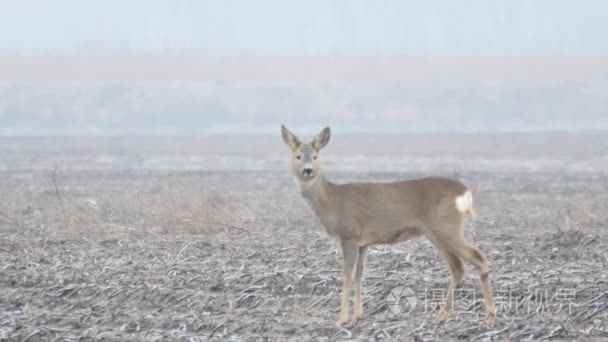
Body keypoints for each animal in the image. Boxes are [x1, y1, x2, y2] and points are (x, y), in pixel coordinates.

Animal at [282, 125, 496, 326]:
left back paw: (489, 317)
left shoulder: (349, 236)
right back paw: (442, 317)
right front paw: (357, 316)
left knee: (478, 257)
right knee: (458, 267)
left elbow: (347, 276)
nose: (308, 170)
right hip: (437, 233)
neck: (331, 201)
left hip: (447, 228)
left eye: (315, 156)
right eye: (298, 156)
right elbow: (359, 276)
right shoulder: (363, 243)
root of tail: (465, 192)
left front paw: (342, 319)